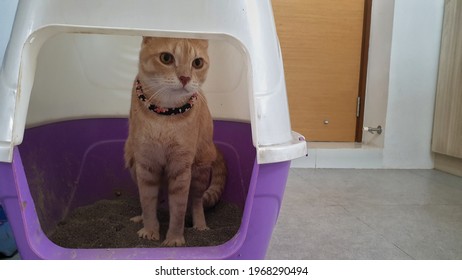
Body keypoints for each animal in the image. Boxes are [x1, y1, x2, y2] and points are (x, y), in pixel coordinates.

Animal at [124, 36, 227, 246]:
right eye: (166, 58)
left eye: (197, 63)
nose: (185, 78)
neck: (165, 116)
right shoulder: (146, 165)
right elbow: (148, 202)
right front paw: (150, 230)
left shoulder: (181, 170)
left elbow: (178, 210)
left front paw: (174, 239)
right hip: (131, 161)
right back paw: (140, 217)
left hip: (200, 171)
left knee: (196, 201)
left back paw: (200, 225)